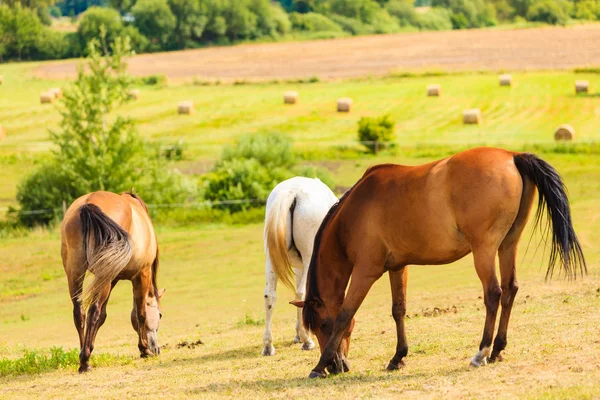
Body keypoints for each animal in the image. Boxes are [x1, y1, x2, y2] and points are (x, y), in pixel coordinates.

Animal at [61, 191, 164, 372]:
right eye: (160, 315)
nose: (157, 349)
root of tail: (88, 204)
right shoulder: (141, 274)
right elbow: (140, 313)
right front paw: (144, 350)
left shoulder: (113, 278)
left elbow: (103, 315)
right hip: (103, 278)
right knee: (93, 311)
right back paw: (85, 361)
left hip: (77, 274)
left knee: (79, 312)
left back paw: (82, 357)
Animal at [262, 177, 340, 356]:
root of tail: (293, 191)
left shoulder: (299, 268)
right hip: (308, 257)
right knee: (302, 293)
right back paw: (307, 341)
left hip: (271, 260)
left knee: (270, 295)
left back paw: (268, 346)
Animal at [290, 148, 584, 378]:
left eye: (322, 325)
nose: (336, 367)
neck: (353, 214)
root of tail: (512, 156)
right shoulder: (398, 267)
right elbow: (398, 310)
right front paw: (398, 357)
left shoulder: (365, 272)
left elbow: (345, 314)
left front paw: (318, 365)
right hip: (507, 246)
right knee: (510, 290)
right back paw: (498, 349)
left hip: (484, 250)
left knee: (494, 294)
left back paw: (482, 352)